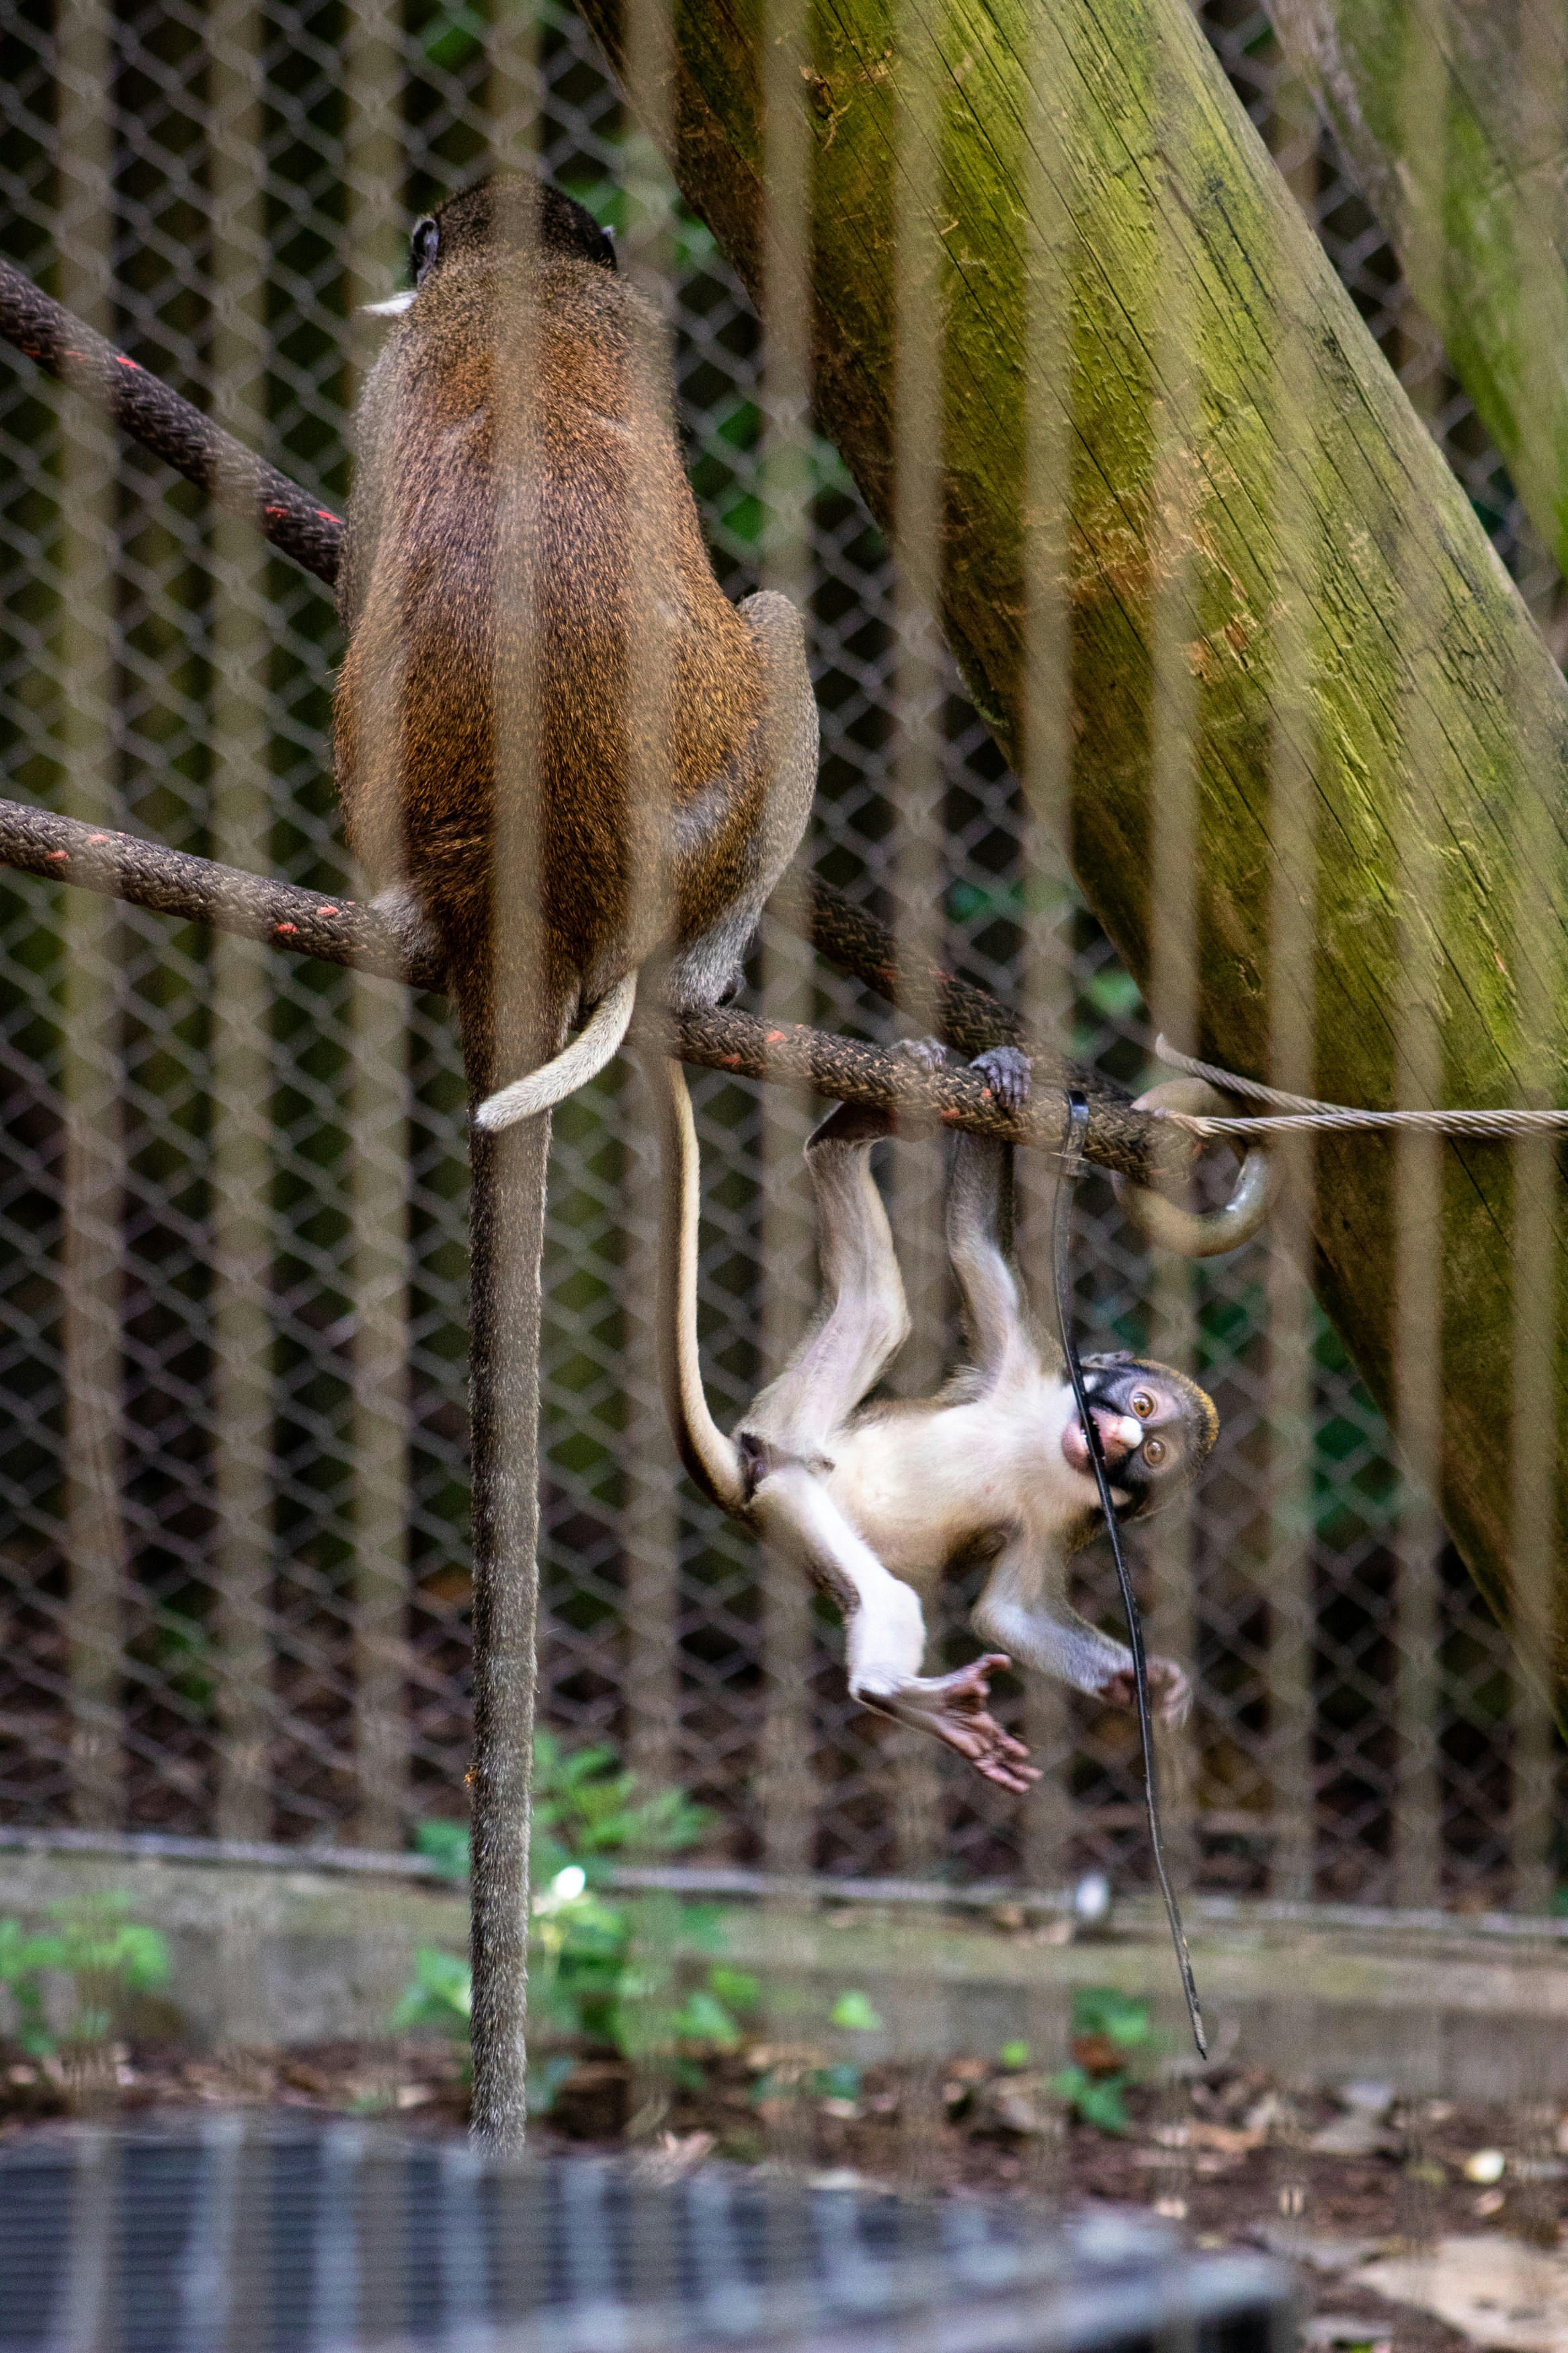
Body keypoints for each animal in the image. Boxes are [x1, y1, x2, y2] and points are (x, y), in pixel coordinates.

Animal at [646, 1044, 1219, 1794]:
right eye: (1142, 1407)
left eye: (1152, 1455)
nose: (1120, 1436)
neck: (1043, 1442)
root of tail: (766, 1462)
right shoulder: (1027, 1357)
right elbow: (972, 1242)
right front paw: (1005, 1071)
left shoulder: (1075, 1515)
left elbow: (1008, 1615)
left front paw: (1137, 1683)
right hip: (795, 1441)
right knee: (881, 1309)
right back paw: (852, 1128)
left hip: (793, 1495)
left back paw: (893, 1695)